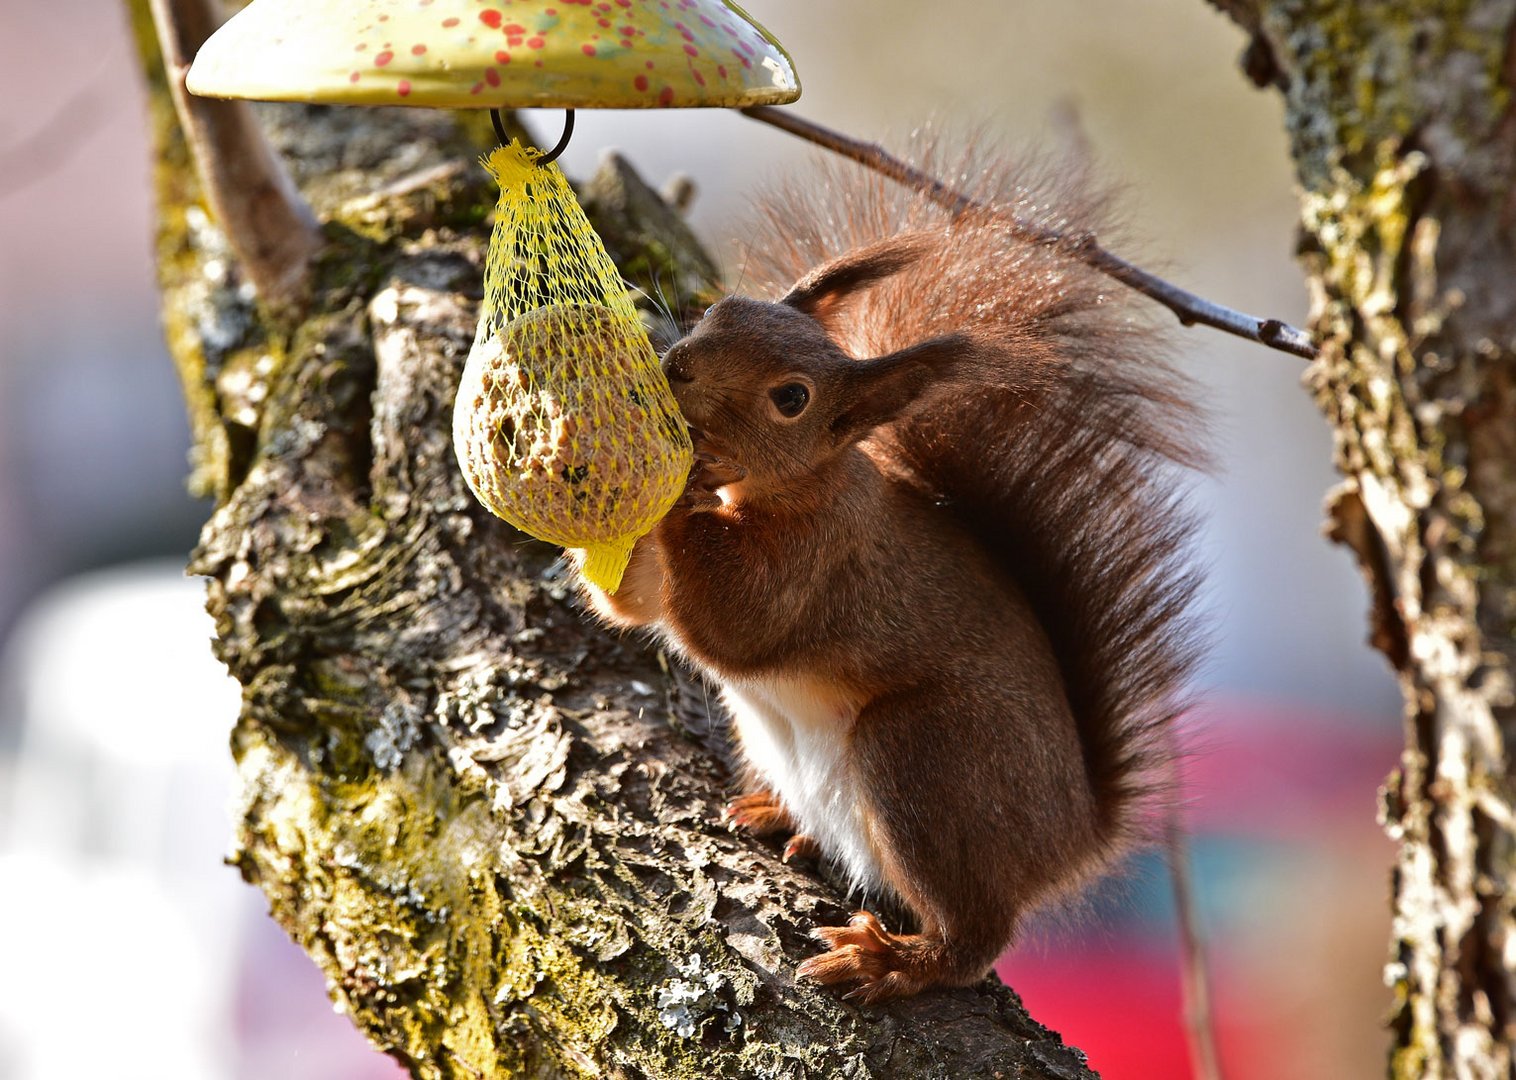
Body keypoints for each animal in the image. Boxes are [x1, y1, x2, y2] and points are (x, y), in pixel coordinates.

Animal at [573, 151, 1200, 1001]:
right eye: (721, 309)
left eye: (792, 399)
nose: (676, 367)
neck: (794, 487)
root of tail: (1073, 838)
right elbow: (636, 606)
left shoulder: (821, 558)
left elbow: (735, 630)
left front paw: (683, 479)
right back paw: (783, 821)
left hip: (923, 760)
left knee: (975, 936)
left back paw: (892, 961)